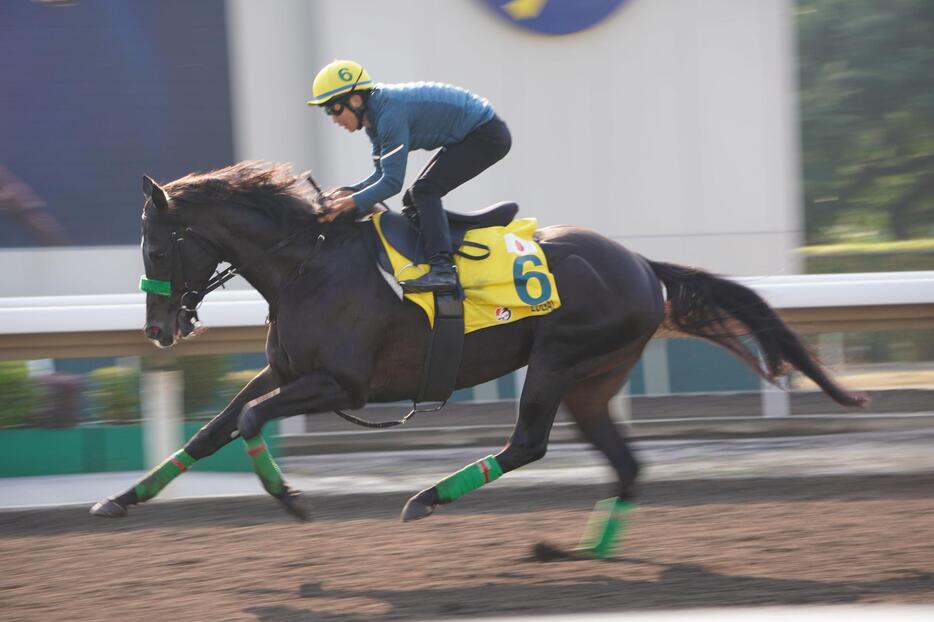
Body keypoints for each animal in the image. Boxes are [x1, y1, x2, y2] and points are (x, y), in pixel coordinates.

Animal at [89, 163, 864, 560]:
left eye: (155, 245)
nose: (157, 330)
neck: (307, 262)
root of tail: (644, 265)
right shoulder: (284, 373)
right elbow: (211, 431)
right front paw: (118, 500)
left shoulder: (342, 384)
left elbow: (249, 421)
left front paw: (293, 500)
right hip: (593, 381)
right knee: (625, 466)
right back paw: (583, 552)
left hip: (559, 359)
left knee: (528, 443)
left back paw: (427, 499)